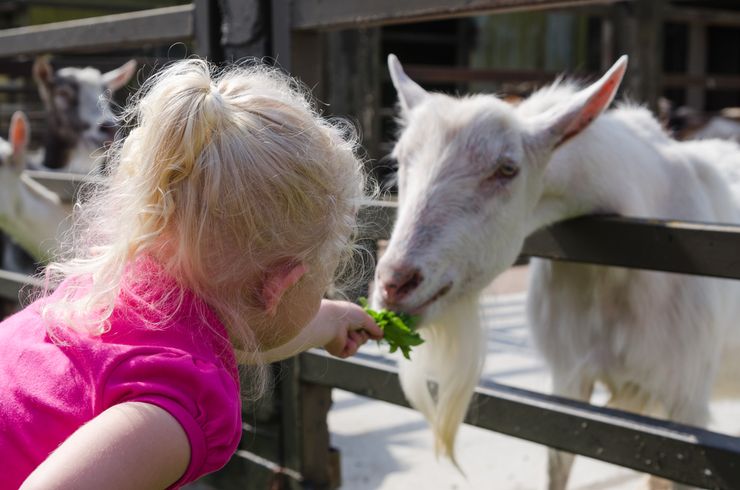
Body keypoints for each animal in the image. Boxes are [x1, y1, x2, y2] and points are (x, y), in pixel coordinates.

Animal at [372, 54, 740, 490]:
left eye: (507, 168)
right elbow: (558, 465)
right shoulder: (567, 382)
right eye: (400, 160)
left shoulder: (686, 400)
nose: (395, 282)